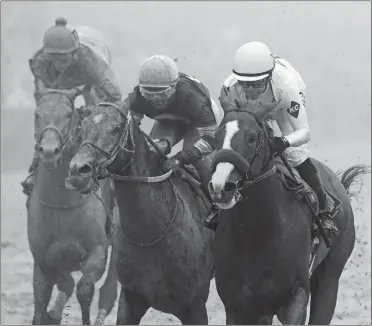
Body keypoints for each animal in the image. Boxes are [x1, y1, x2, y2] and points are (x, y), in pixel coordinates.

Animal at [27, 88, 117, 324]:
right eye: (37, 114)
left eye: (68, 115)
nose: (50, 151)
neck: (62, 203)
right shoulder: (43, 258)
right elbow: (50, 290)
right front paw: (52, 312)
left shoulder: (97, 253)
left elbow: (84, 288)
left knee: (109, 290)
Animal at [65, 102, 214, 324]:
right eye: (83, 128)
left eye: (115, 129)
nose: (77, 170)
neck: (150, 234)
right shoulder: (131, 299)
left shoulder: (194, 305)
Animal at [208, 109, 368, 324]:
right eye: (217, 137)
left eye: (252, 137)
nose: (220, 186)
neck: (257, 234)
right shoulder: (239, 306)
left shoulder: (296, 296)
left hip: (330, 275)